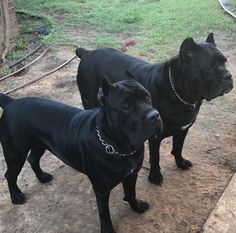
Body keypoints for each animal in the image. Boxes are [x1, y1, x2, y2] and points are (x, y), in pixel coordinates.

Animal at [0, 78, 162, 233]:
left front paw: (137, 207)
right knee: (10, 174)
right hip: (15, 154)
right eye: (125, 106)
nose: (155, 116)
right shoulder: (101, 190)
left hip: (39, 144)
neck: (120, 147)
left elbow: (131, 193)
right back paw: (16, 196)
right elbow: (104, 213)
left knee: (32, 158)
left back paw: (42, 177)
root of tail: (12, 102)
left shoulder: (132, 175)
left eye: (147, 97)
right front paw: (108, 230)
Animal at [75, 33, 232, 186]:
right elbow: (155, 157)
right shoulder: (155, 136)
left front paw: (180, 162)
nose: (229, 76)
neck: (180, 93)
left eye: (224, 62)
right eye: (210, 67)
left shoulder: (183, 129)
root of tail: (87, 52)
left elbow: (178, 147)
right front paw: (155, 176)